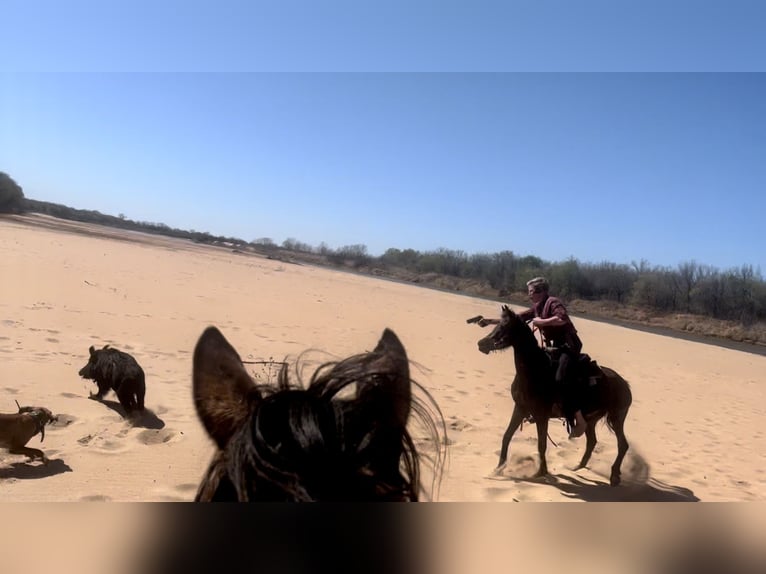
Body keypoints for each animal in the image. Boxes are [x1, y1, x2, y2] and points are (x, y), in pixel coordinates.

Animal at [476, 304, 632, 488]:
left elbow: (541, 444)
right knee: (592, 441)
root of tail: (625, 384)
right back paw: (578, 466)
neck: (535, 371)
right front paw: (498, 468)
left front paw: (540, 472)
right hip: (592, 419)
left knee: (622, 445)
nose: (481, 344)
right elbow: (507, 436)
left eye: (504, 327)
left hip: (617, 418)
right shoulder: (520, 408)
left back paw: (614, 476)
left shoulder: (541, 415)